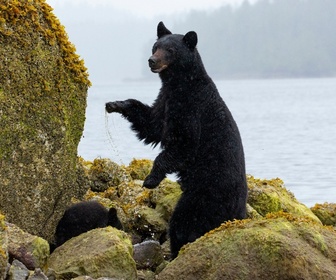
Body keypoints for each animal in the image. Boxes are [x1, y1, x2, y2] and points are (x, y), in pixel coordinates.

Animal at [106, 21, 248, 258]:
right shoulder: (165, 101)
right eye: (155, 46)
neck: (180, 85)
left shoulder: (190, 110)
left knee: (183, 222)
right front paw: (116, 104)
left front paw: (150, 179)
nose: (151, 60)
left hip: (205, 194)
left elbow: (183, 145)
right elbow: (151, 125)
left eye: (170, 50)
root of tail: (241, 206)